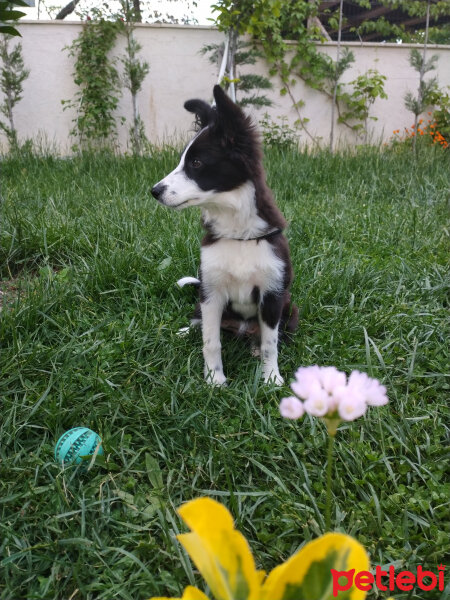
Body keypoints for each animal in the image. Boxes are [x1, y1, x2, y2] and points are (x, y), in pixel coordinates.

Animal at [152, 84, 298, 384]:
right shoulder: (212, 293)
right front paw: (214, 381)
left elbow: (271, 343)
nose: (154, 191)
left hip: (290, 305)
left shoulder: (272, 294)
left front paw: (271, 378)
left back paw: (254, 347)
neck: (237, 231)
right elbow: (211, 341)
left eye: (196, 163)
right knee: (199, 322)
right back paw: (185, 332)